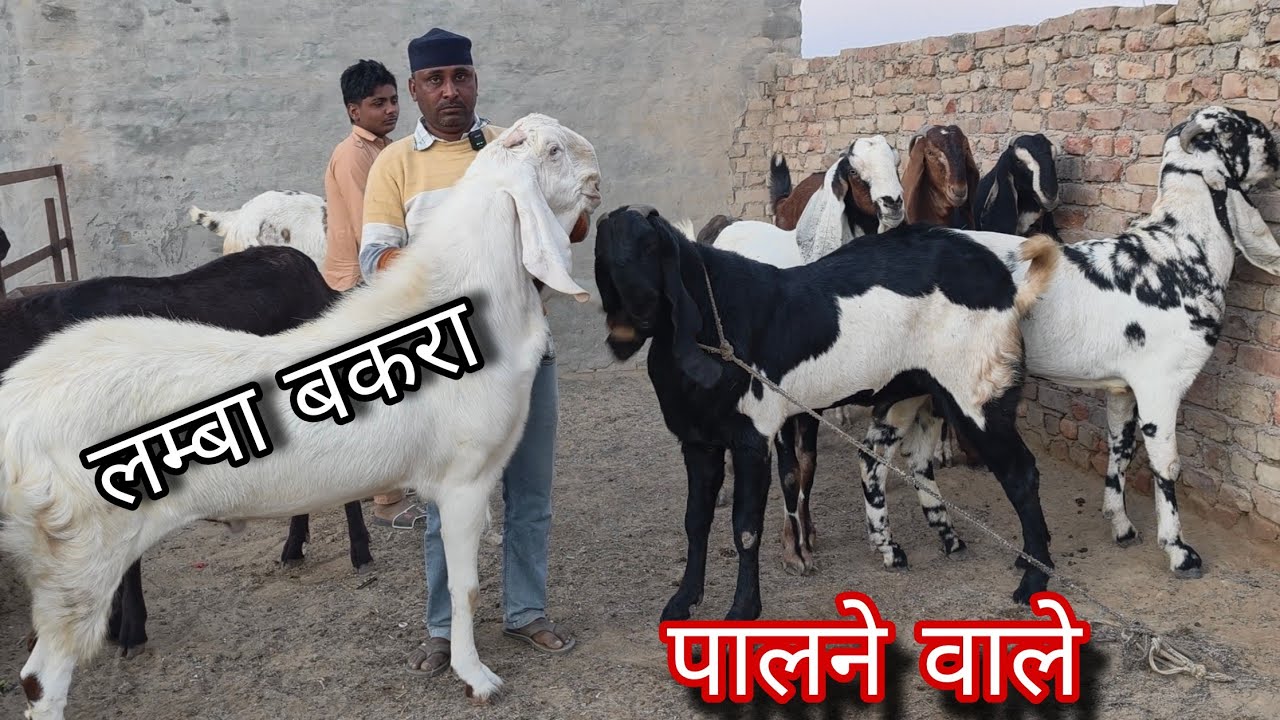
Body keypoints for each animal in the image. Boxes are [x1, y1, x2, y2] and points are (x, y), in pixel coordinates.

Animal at [594, 204, 1061, 628]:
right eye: (603, 253)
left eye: (650, 246)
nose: (632, 320)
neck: (714, 322)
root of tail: (1004, 284)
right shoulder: (697, 441)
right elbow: (695, 521)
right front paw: (683, 601)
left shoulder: (753, 438)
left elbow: (746, 527)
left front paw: (743, 609)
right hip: (920, 391)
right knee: (908, 462)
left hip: (976, 394)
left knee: (1021, 474)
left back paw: (1034, 577)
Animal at [956, 106, 1280, 578]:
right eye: (1234, 128)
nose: (1275, 145)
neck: (1180, 248)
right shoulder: (1160, 384)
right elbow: (1167, 464)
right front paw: (1178, 550)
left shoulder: (1122, 387)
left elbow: (1120, 448)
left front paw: (1121, 524)